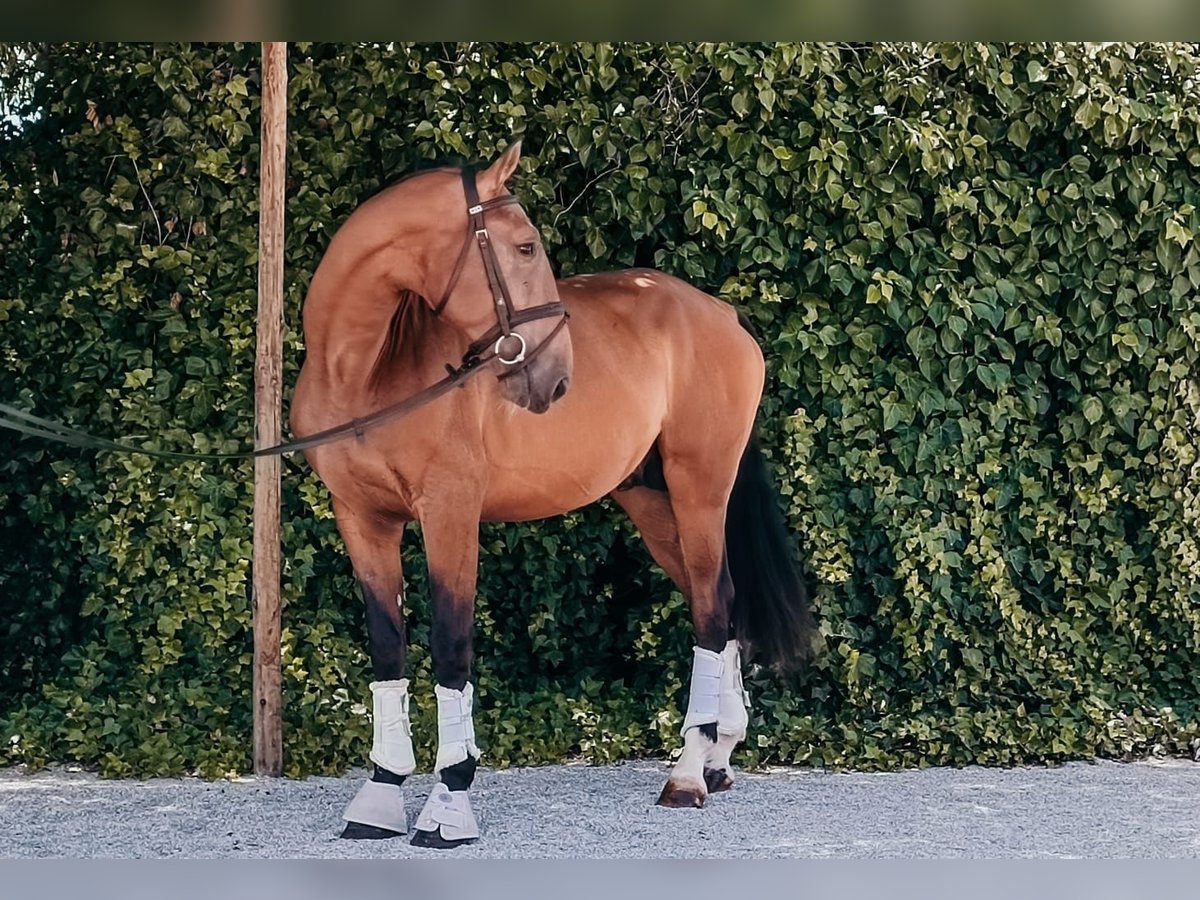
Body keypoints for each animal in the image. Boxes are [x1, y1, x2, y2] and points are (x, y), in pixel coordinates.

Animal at [290, 142, 816, 854]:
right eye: (525, 247)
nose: (555, 376)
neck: (366, 371)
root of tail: (722, 315)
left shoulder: (449, 513)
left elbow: (451, 645)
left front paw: (449, 803)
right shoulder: (362, 519)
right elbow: (387, 645)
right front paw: (379, 794)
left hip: (700, 489)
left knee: (711, 611)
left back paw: (687, 775)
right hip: (653, 504)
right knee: (724, 605)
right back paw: (717, 757)